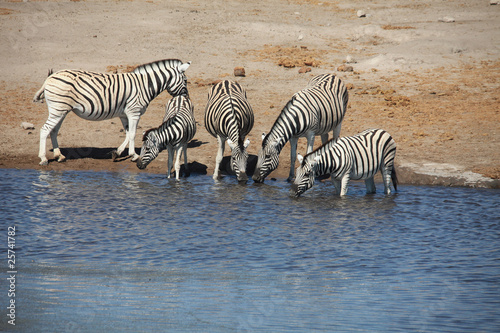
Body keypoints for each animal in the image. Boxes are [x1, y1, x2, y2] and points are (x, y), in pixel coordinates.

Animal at [32, 59, 190, 165]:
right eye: (185, 80)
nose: (186, 97)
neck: (145, 85)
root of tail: (49, 78)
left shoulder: (124, 114)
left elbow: (128, 134)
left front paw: (117, 153)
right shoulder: (134, 112)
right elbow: (133, 134)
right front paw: (134, 155)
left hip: (62, 110)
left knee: (53, 130)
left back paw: (59, 156)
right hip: (58, 110)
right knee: (45, 130)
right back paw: (44, 158)